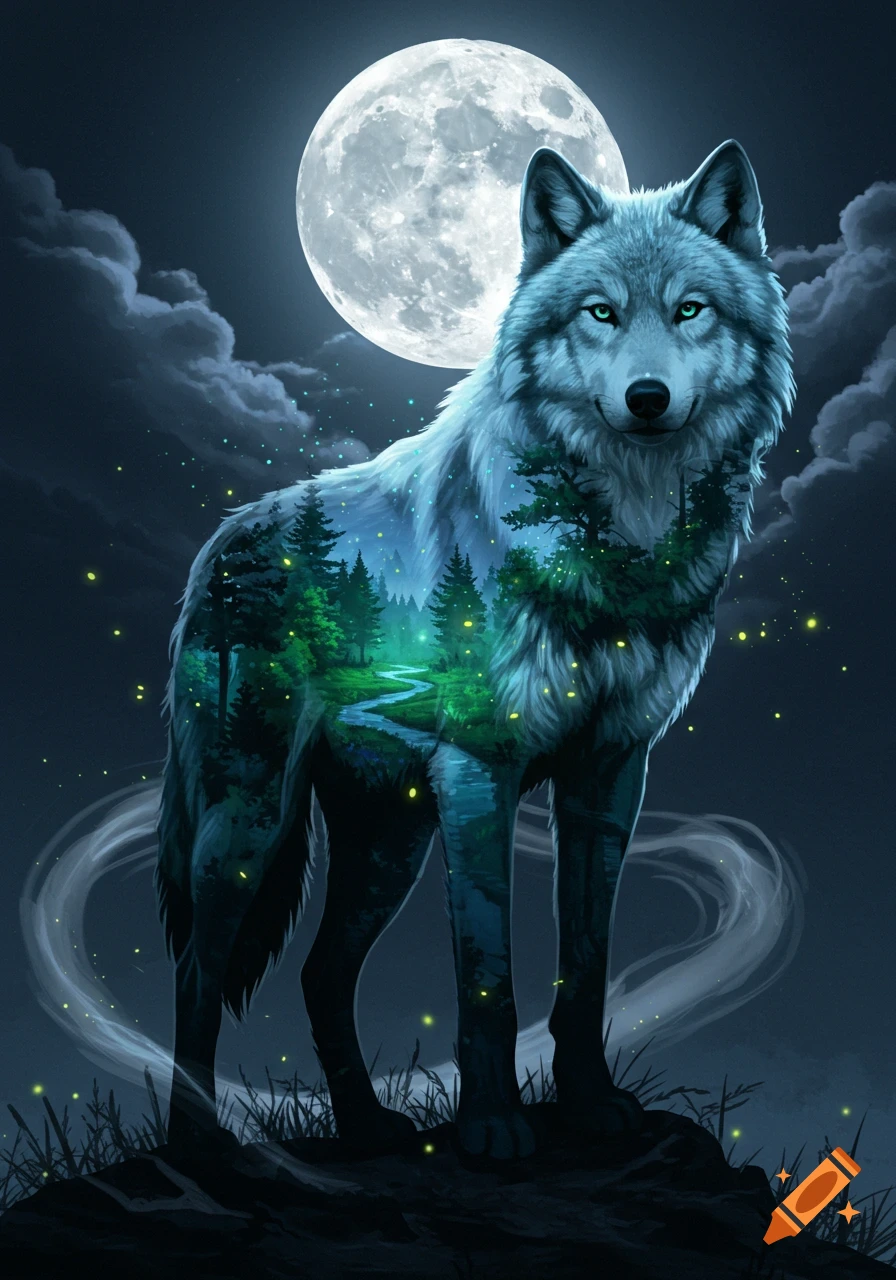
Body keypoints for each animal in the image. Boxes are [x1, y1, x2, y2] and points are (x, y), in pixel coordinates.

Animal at [156, 138, 795, 1162]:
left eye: (690, 308)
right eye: (600, 312)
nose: (647, 399)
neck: (615, 542)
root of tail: (217, 544)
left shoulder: (610, 772)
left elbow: (585, 967)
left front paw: (590, 1105)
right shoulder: (479, 769)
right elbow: (487, 973)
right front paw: (493, 1127)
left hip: (389, 844)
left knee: (319, 976)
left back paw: (368, 1127)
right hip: (248, 828)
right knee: (196, 973)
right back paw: (197, 1146)